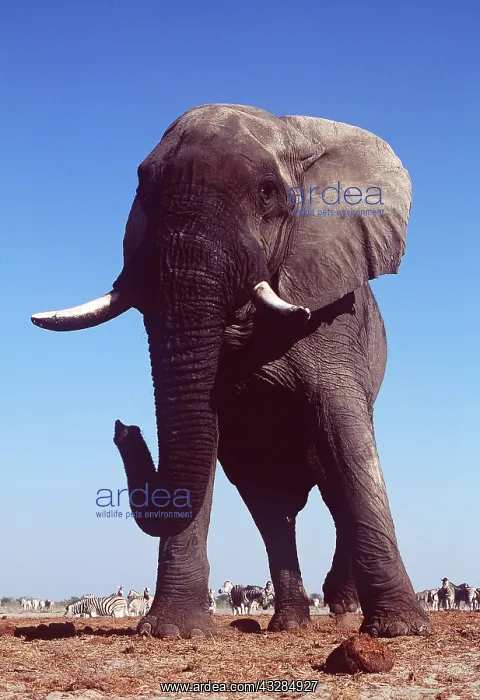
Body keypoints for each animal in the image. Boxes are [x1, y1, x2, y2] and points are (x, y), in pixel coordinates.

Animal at [32, 103, 432, 640]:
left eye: (266, 192)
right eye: (142, 189)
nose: (124, 428)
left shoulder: (333, 309)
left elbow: (345, 435)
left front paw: (401, 630)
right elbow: (204, 431)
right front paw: (173, 633)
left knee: (331, 485)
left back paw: (340, 608)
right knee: (270, 506)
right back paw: (289, 624)